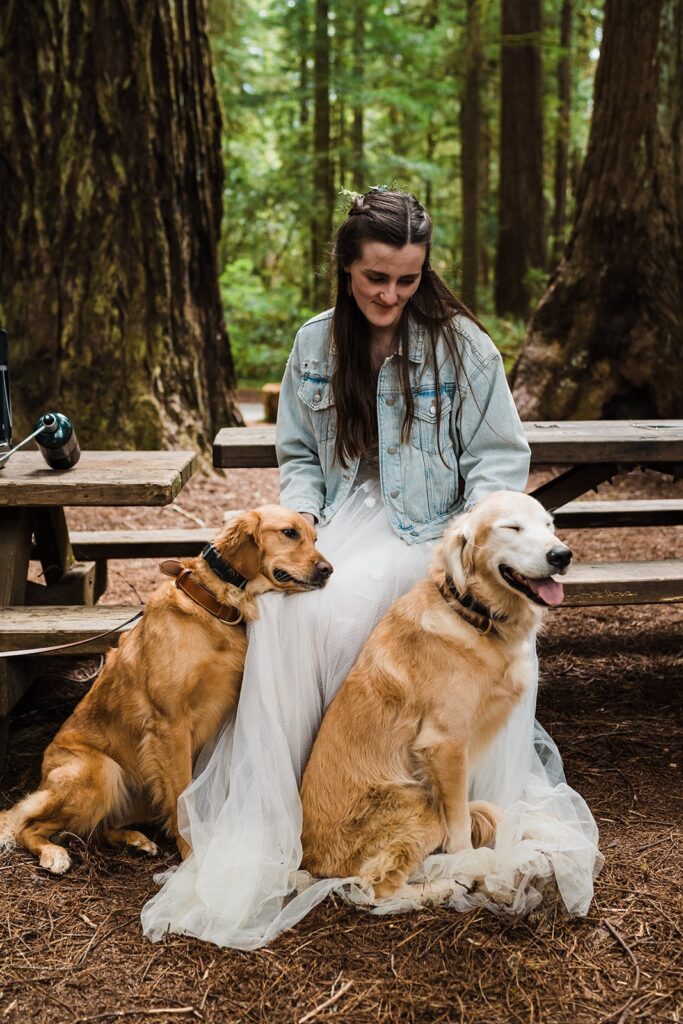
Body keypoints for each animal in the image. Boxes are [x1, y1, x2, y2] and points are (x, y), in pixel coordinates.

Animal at [0, 503, 331, 872]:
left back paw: (135, 840)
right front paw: (191, 851)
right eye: (289, 533)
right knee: (27, 825)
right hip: (98, 771)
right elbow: (181, 797)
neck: (212, 606)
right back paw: (53, 853)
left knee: (101, 828)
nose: (328, 570)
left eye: (315, 537)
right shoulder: (169, 724)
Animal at [301, 491, 569, 901]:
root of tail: (310, 858)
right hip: (418, 807)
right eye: (512, 527)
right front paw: (472, 862)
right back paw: (450, 883)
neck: (471, 615)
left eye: (549, 526)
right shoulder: (444, 744)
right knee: (377, 886)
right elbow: (457, 823)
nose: (562, 555)